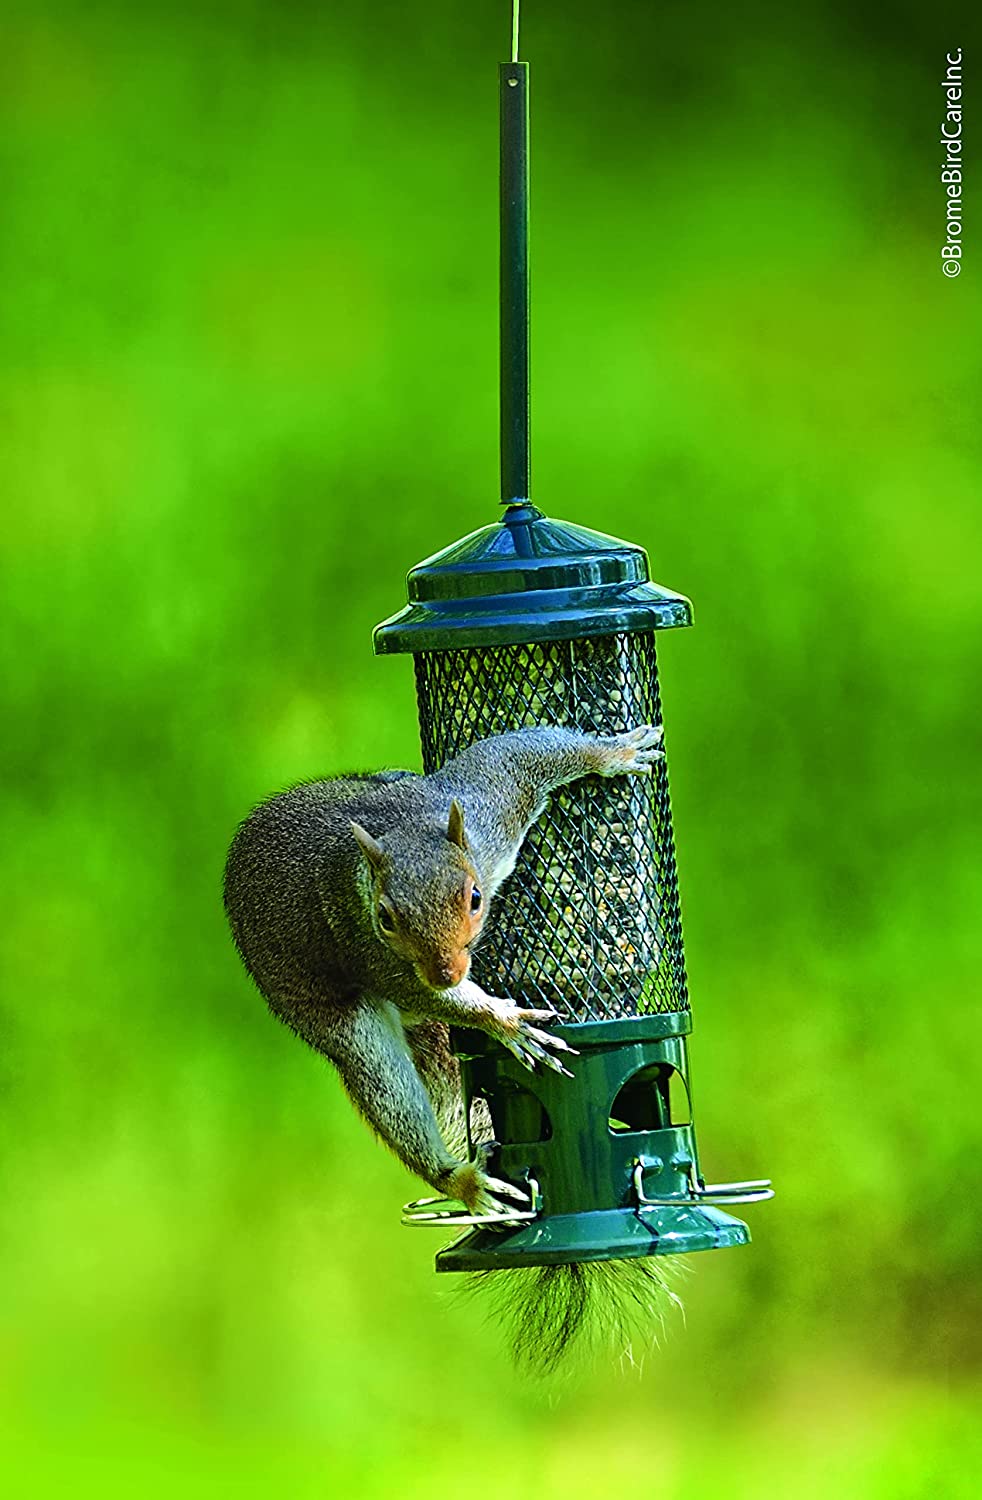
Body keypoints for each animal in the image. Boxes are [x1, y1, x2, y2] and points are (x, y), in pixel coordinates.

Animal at [224, 720, 659, 1224]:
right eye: (385, 918)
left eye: (474, 898)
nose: (446, 974)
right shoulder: (363, 946)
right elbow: (425, 995)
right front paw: (504, 1022)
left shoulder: (491, 809)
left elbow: (520, 756)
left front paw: (613, 753)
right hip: (343, 1025)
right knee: (383, 1082)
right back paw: (461, 1182)